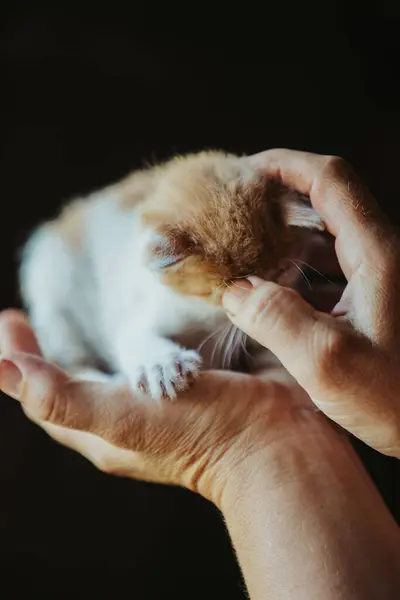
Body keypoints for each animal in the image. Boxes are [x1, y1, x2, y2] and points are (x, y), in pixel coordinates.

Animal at [19, 150, 324, 400]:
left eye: (282, 272)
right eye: (235, 286)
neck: (204, 317)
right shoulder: (141, 310)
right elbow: (133, 335)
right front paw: (163, 366)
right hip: (54, 299)